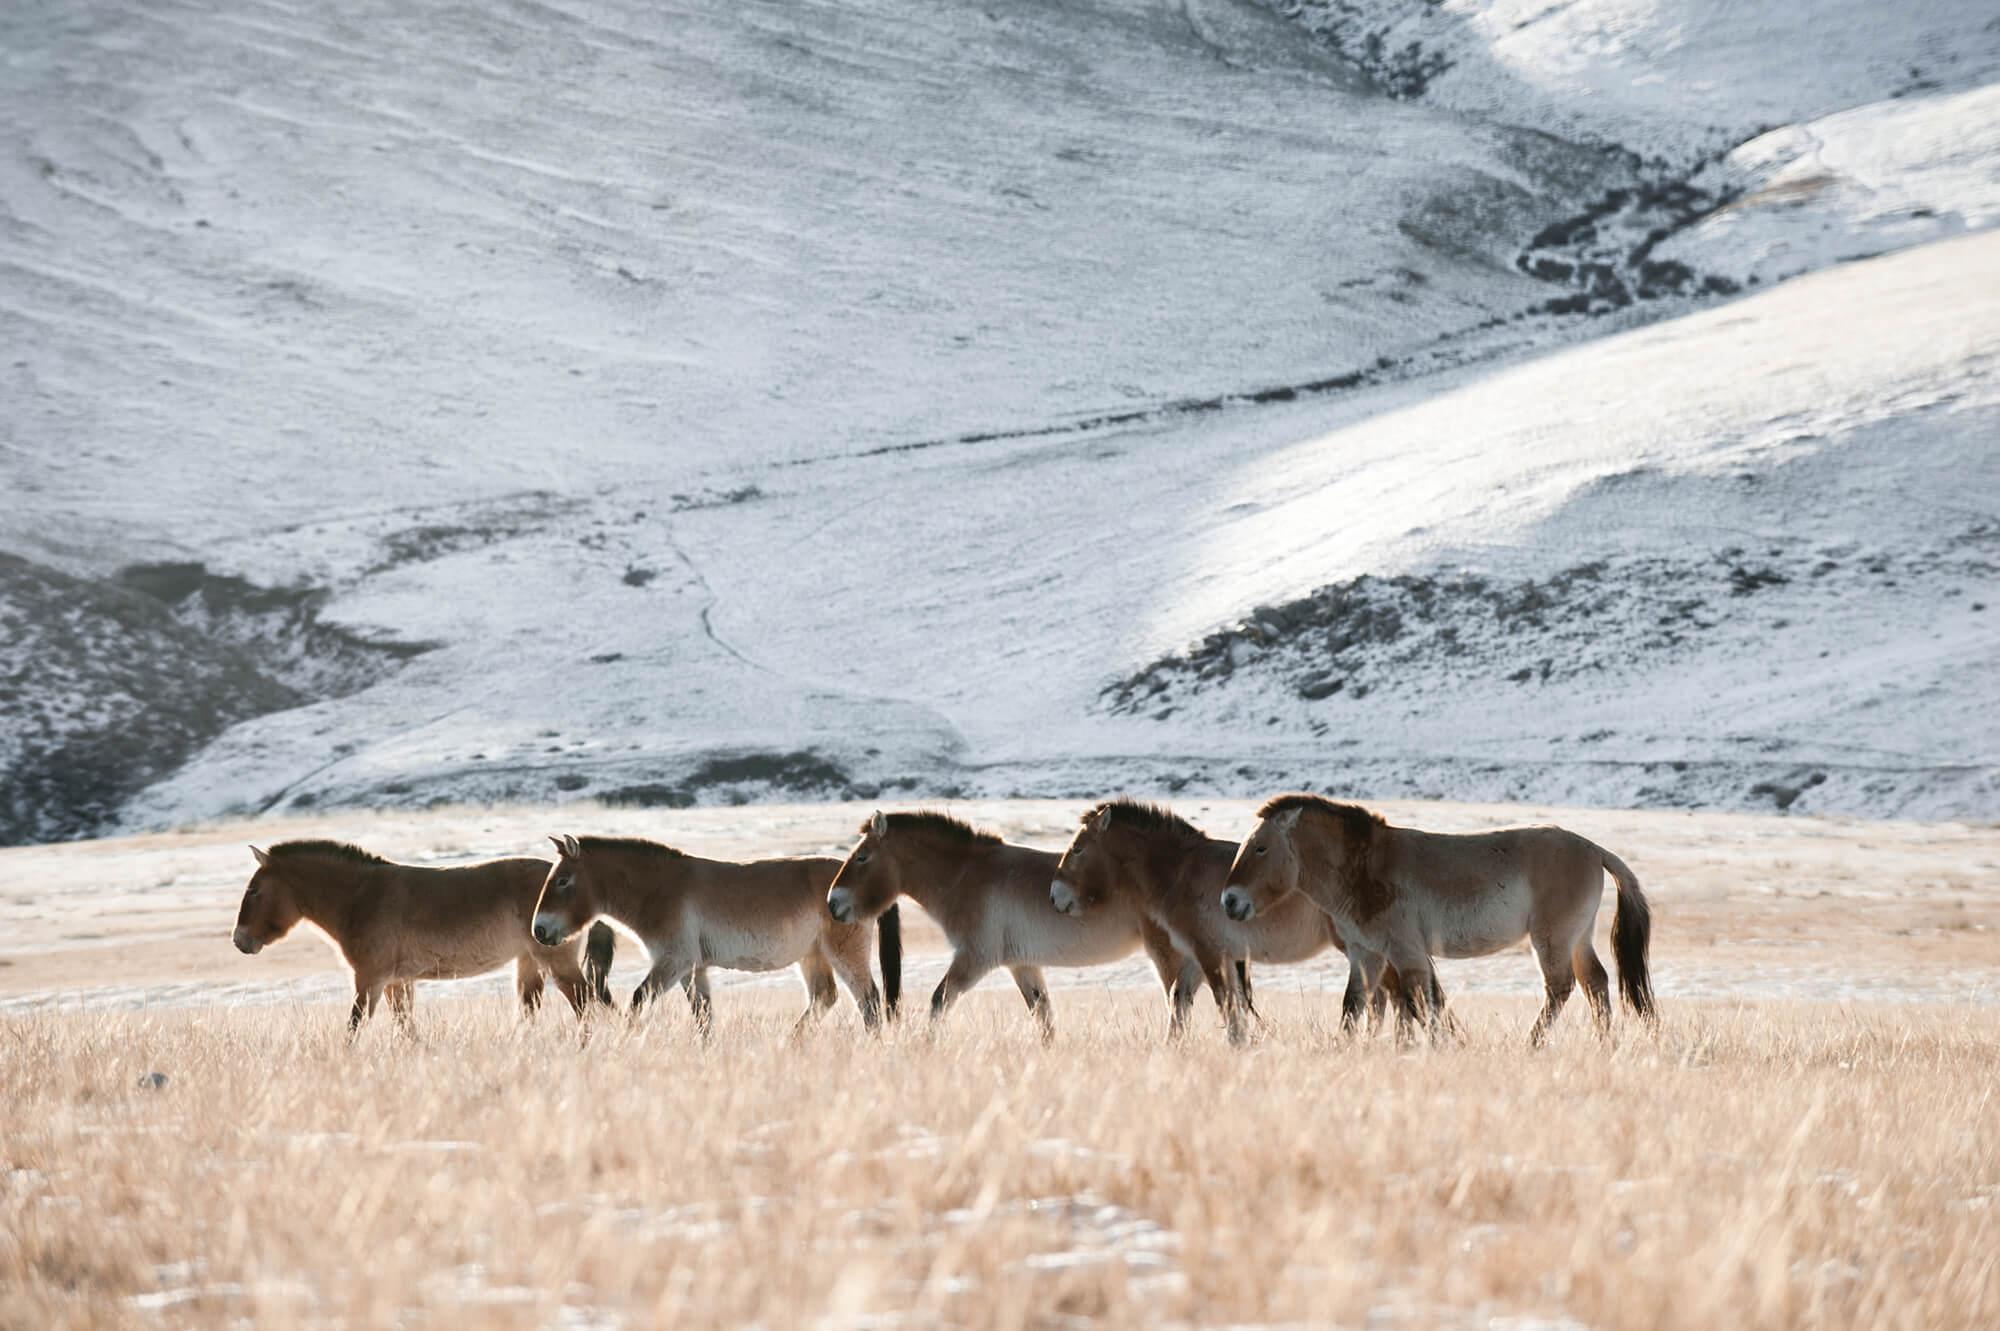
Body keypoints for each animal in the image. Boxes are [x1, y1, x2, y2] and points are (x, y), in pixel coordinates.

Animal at [231, 835, 612, 1031]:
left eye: (254, 891)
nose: (240, 940)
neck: (361, 897)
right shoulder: (396, 983)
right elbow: (406, 1029)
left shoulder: (370, 980)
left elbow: (354, 1028)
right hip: (529, 964)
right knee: (531, 1011)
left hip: (556, 963)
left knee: (584, 1004)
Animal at [536, 831, 904, 1039]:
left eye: (563, 881)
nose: (539, 929)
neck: (660, 890)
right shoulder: (692, 969)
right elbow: (703, 1018)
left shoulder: (673, 962)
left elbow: (639, 1001)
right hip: (812, 955)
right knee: (824, 997)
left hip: (843, 953)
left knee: (869, 1002)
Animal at [824, 803, 1184, 1039]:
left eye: (862, 857)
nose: (833, 903)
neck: (966, 876)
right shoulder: (1021, 965)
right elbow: (1043, 1016)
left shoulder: (974, 959)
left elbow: (939, 1001)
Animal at [1048, 791, 1440, 1039]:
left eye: (1078, 848)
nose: (1055, 896)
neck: (1181, 871)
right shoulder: (1197, 957)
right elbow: (1180, 1003)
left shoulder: (1211, 954)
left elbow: (1228, 1010)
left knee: (1396, 998)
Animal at [1216, 791, 1656, 1039]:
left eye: (1260, 848)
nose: (1229, 901)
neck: (1366, 869)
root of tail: (1593, 849)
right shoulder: (1366, 954)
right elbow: (1355, 1005)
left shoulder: (1407, 952)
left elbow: (1421, 1005)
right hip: (1577, 938)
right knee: (1595, 983)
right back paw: (1604, 1045)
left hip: (1551, 938)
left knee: (1561, 987)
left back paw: (1532, 1046)